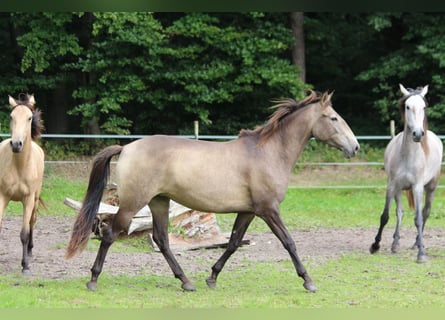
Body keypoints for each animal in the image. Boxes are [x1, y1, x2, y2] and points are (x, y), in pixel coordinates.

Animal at [65, 90, 358, 292]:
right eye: (334, 118)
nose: (354, 147)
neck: (268, 153)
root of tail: (126, 147)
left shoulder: (248, 211)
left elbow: (233, 243)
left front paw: (212, 276)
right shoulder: (268, 209)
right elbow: (289, 242)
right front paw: (308, 281)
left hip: (159, 202)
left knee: (162, 240)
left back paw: (186, 281)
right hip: (133, 203)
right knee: (110, 234)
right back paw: (93, 280)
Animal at [370, 84, 442, 262]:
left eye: (424, 107)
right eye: (407, 106)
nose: (418, 133)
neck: (408, 157)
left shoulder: (417, 188)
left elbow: (418, 219)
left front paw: (421, 254)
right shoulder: (392, 186)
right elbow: (386, 216)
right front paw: (375, 245)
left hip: (431, 188)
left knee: (426, 213)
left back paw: (417, 243)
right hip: (399, 189)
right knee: (400, 213)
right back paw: (396, 244)